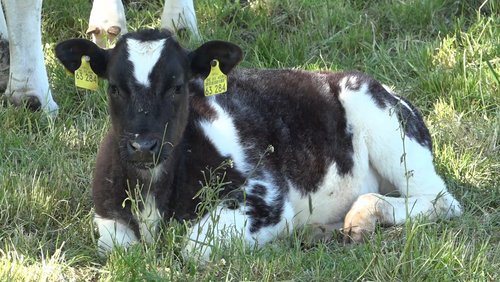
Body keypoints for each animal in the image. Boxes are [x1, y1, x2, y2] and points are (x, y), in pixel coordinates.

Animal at [54, 28, 460, 262]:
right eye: (114, 87)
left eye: (178, 85)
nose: (143, 146)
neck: (153, 195)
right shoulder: (108, 217)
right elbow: (120, 250)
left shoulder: (264, 198)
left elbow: (193, 248)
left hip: (385, 124)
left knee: (441, 200)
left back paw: (361, 218)